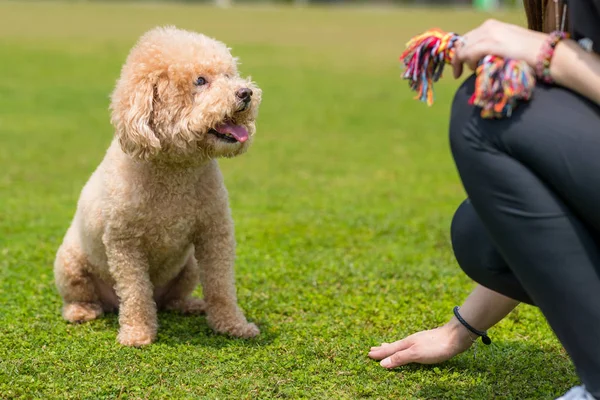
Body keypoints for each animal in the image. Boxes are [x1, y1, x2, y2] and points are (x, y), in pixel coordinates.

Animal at [53, 26, 262, 346]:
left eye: (229, 75)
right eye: (200, 81)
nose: (246, 93)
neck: (176, 169)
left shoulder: (215, 233)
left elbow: (222, 286)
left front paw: (233, 326)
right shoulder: (124, 244)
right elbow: (136, 292)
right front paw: (137, 334)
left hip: (188, 267)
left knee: (171, 299)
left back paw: (187, 305)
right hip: (69, 264)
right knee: (83, 295)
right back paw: (82, 311)